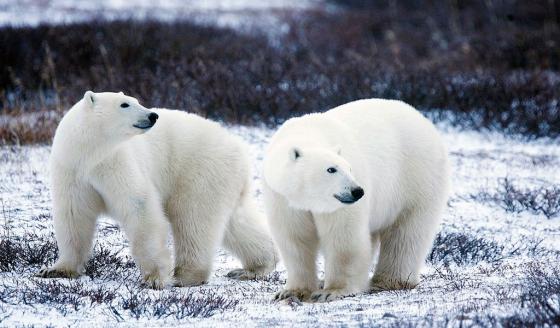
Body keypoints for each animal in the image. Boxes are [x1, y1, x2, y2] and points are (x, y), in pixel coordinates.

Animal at [37, 91, 278, 288]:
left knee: (193, 219)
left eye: (136, 100)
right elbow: (73, 215)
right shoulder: (71, 169)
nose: (153, 115)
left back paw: (185, 276)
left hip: (200, 171)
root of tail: (239, 148)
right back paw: (254, 267)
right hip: (223, 180)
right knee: (236, 223)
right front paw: (56, 270)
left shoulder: (116, 162)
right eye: (125, 104)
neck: (90, 153)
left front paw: (154, 278)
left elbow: (139, 207)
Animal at [262, 98, 450, 302]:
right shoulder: (283, 198)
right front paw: (291, 292)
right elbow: (295, 238)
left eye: (349, 168)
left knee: (406, 233)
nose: (357, 191)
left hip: (416, 178)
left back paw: (388, 281)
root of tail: (423, 120)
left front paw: (331, 291)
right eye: (331, 169)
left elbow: (344, 237)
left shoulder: (339, 206)